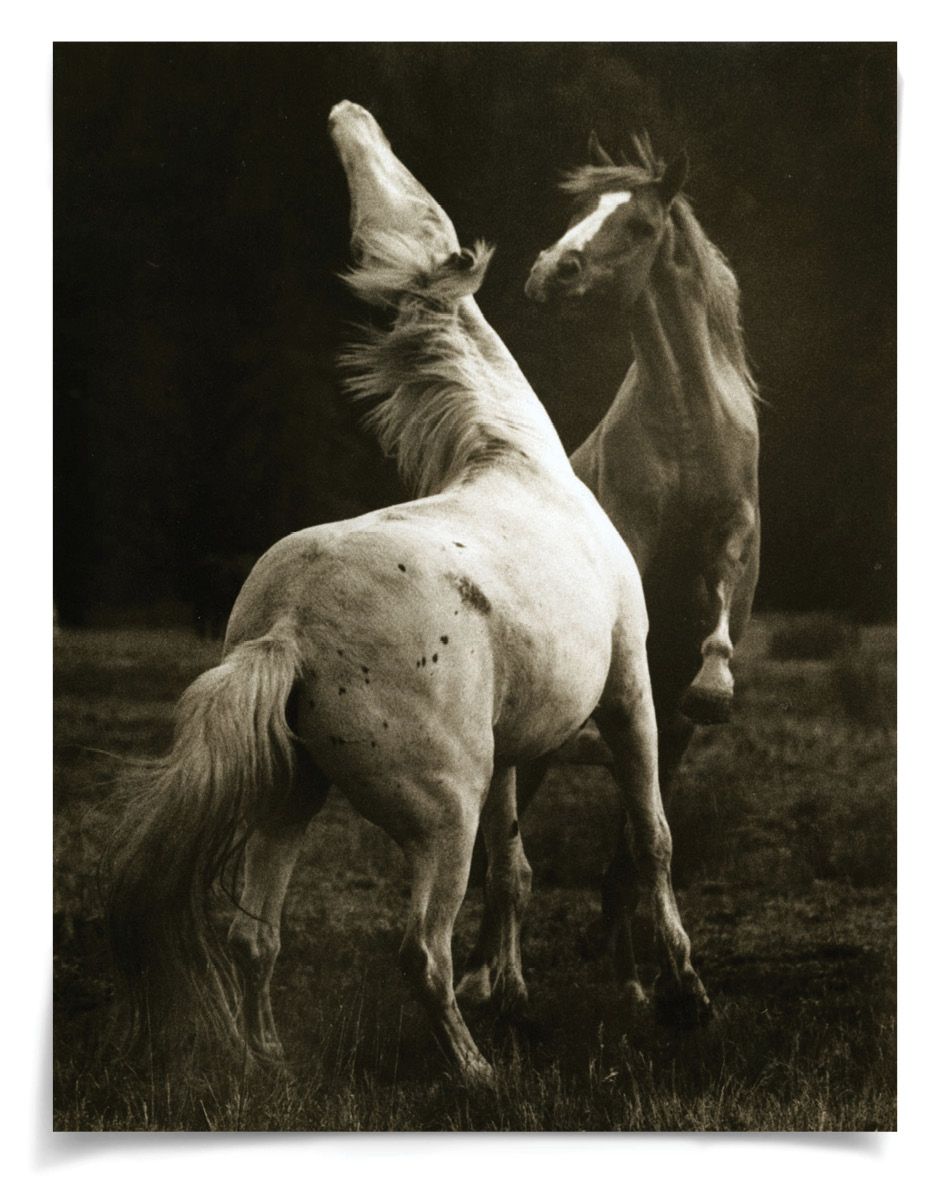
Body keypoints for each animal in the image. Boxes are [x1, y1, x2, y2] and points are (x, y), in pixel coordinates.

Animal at [105, 102, 709, 1087]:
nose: (349, 116)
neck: (519, 458)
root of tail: (290, 630)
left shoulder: (511, 748)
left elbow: (516, 865)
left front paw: (518, 993)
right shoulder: (629, 689)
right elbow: (652, 838)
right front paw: (685, 995)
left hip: (292, 794)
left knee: (253, 935)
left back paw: (270, 1062)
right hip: (438, 815)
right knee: (418, 948)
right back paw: (477, 1075)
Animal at [457, 131, 759, 1011]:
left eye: (640, 223)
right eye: (582, 212)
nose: (549, 271)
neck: (688, 426)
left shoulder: (733, 529)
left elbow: (722, 589)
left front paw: (715, 681)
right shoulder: (628, 536)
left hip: (658, 740)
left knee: (624, 840)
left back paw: (631, 979)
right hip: (534, 745)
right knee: (501, 848)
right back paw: (490, 973)